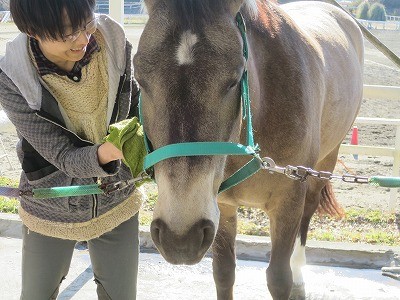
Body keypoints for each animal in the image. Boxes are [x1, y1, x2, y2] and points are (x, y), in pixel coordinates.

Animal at [134, 0, 362, 298]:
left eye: (234, 80)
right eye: (139, 77)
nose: (180, 238)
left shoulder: (288, 203)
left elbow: (279, 278)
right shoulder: (222, 205)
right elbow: (223, 273)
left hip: (323, 165)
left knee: (307, 216)